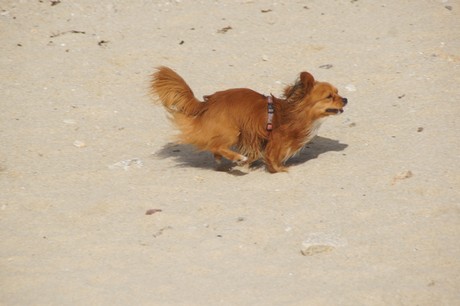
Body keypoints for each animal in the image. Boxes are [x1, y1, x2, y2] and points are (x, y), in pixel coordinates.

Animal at [151, 66, 348, 172]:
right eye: (329, 97)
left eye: (338, 93)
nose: (346, 99)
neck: (294, 113)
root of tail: (206, 104)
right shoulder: (275, 141)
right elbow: (273, 158)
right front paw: (280, 169)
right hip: (233, 131)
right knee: (217, 145)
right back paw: (238, 158)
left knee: (215, 147)